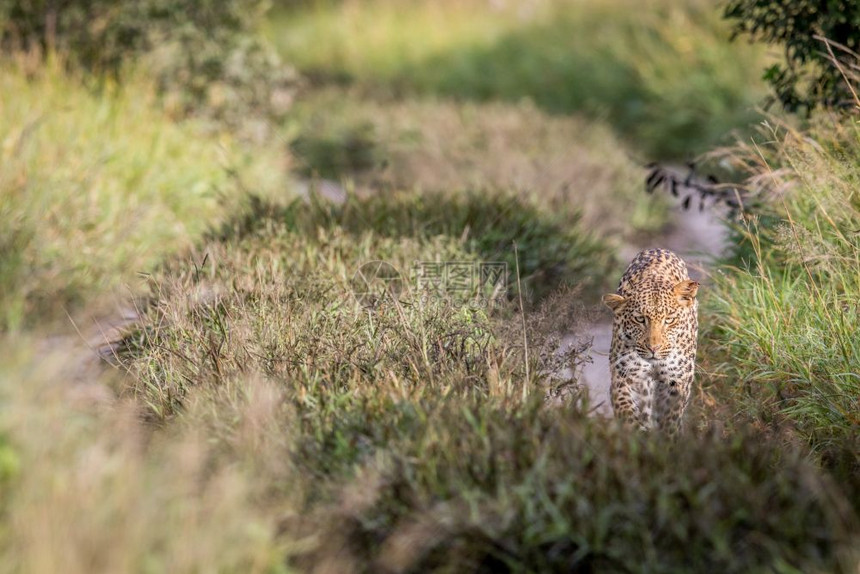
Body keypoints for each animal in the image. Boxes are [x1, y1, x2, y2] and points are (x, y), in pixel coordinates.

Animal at [604, 249, 700, 440]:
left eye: (669, 320)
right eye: (640, 319)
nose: (653, 348)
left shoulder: (677, 380)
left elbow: (671, 418)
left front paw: (668, 439)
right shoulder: (624, 376)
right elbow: (625, 408)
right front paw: (637, 433)